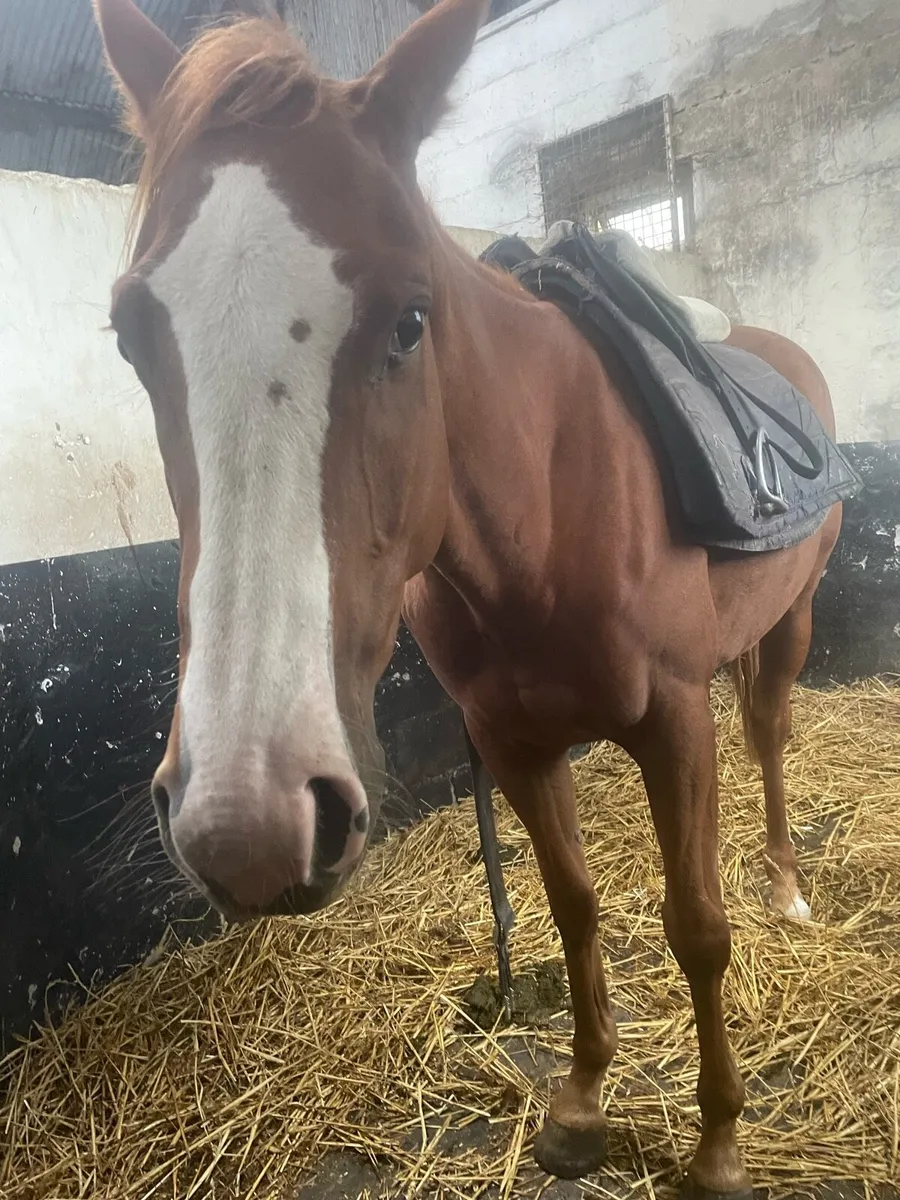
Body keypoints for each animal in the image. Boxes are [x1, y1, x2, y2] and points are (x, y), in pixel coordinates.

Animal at [94, 1, 844, 1194]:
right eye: (131, 332)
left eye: (411, 319)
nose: (246, 824)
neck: (544, 513)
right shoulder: (514, 744)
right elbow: (573, 906)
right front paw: (581, 1102)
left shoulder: (675, 724)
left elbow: (696, 926)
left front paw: (720, 1140)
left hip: (789, 625)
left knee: (768, 735)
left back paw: (785, 886)